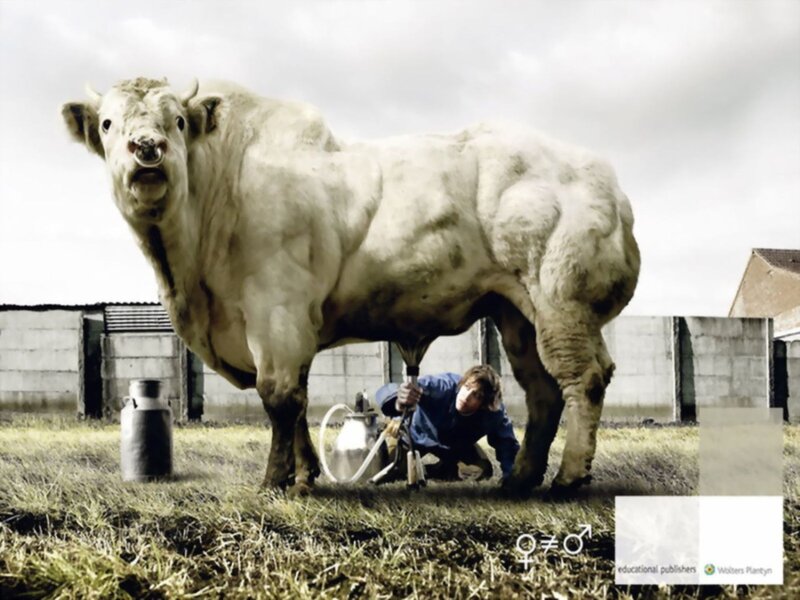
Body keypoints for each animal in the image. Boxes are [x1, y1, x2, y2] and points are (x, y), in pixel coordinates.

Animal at [62, 77, 640, 497]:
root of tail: (602, 176)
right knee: (543, 390)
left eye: (178, 121)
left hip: (561, 300)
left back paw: (567, 478)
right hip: (515, 311)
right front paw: (306, 473)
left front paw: (277, 482)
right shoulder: (284, 325)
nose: (147, 148)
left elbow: (279, 396)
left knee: (583, 379)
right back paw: (520, 478)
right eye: (109, 123)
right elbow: (296, 400)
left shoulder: (277, 312)